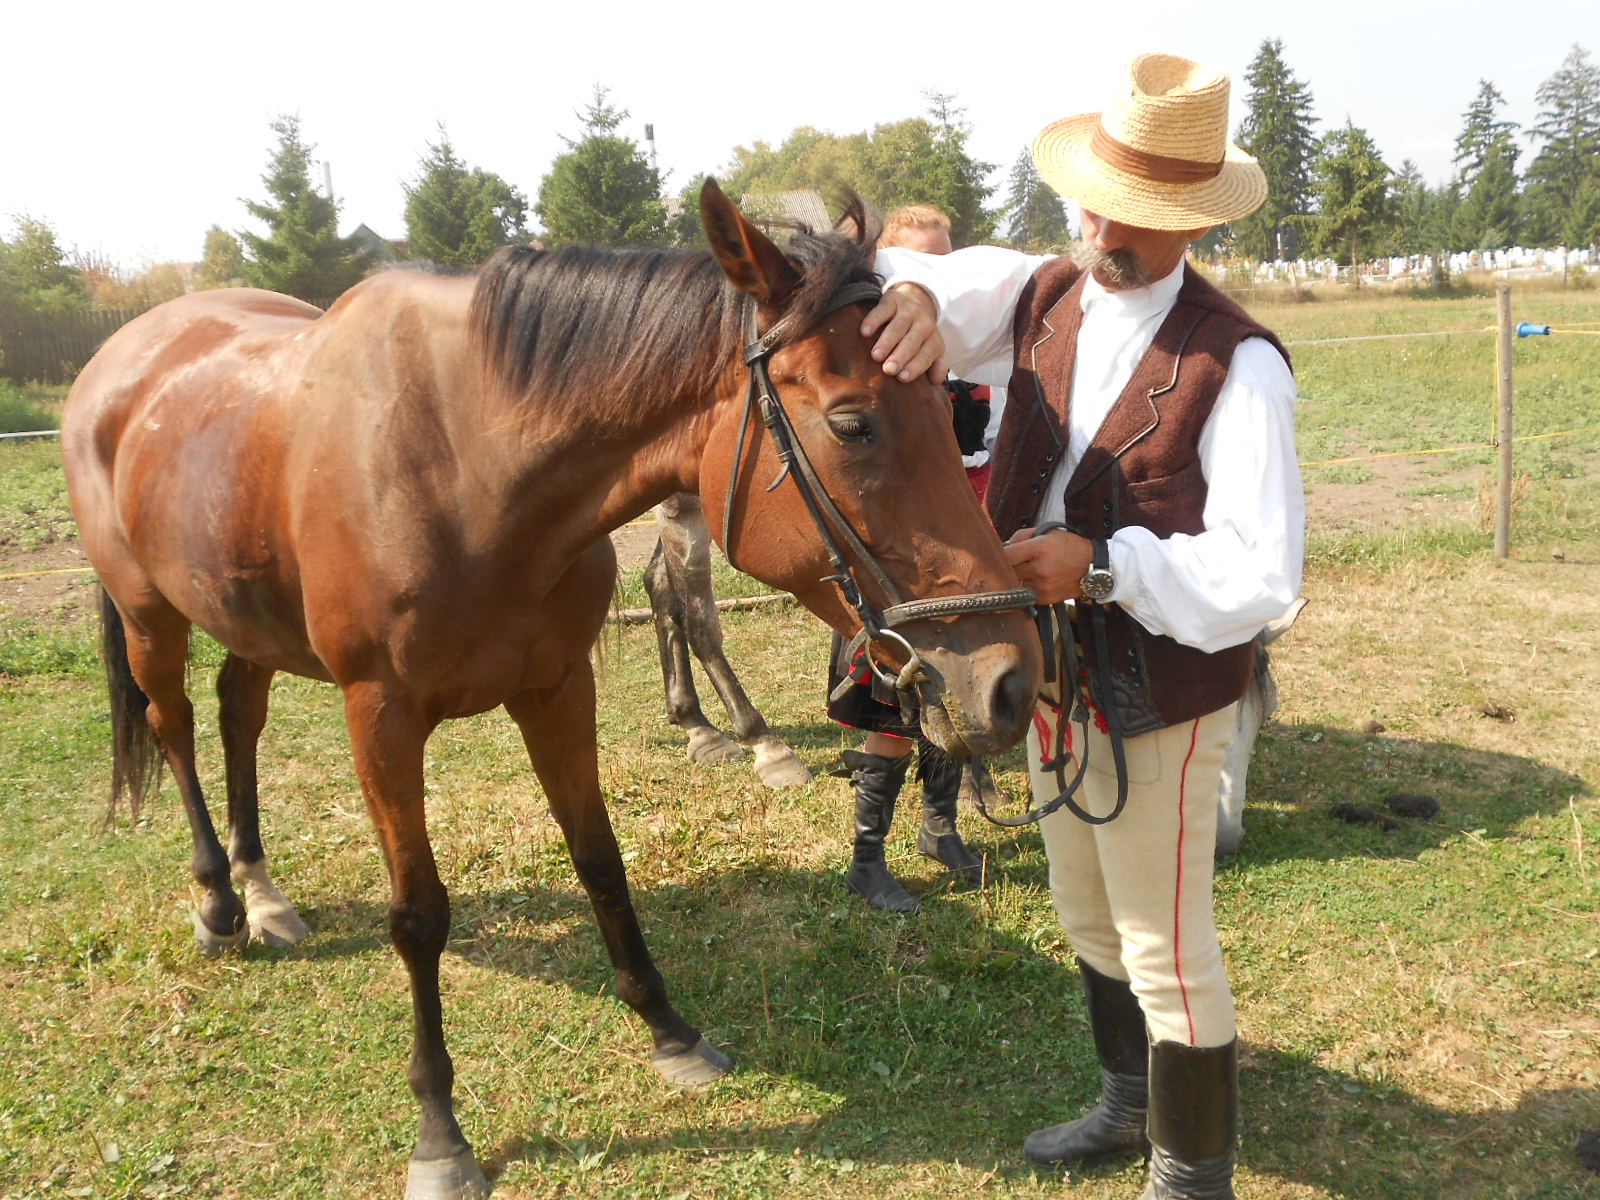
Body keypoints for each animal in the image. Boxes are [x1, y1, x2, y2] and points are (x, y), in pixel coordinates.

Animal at [59, 180, 1036, 1200]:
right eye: (854, 424)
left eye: (951, 410)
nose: (1011, 680)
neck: (465, 466)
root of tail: (124, 355)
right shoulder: (380, 717)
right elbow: (419, 915)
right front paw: (440, 1134)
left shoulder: (558, 688)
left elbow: (600, 859)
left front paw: (669, 1029)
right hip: (151, 619)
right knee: (174, 727)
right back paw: (219, 901)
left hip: (247, 619)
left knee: (237, 716)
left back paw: (263, 890)